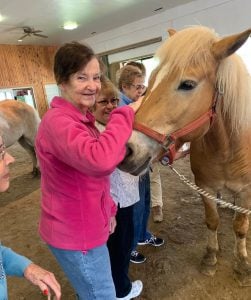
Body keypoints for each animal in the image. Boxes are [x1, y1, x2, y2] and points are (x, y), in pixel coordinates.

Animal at [118, 25, 251, 286]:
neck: (227, 148)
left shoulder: (246, 191)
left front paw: (241, 263)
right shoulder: (205, 186)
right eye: (150, 82)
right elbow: (212, 220)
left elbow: (240, 226)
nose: (128, 150)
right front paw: (210, 257)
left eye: (187, 84)